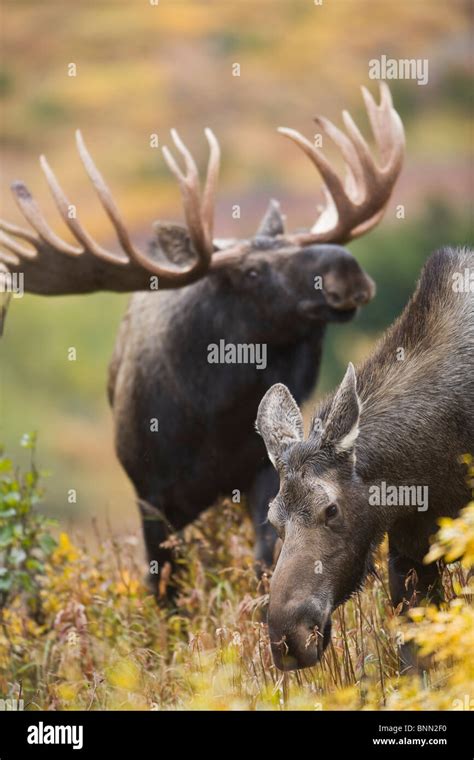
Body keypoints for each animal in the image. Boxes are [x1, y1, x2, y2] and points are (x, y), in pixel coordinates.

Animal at [0, 86, 406, 592]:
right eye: (251, 273)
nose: (345, 269)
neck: (215, 420)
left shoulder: (265, 470)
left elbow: (266, 556)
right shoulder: (151, 493)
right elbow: (164, 584)